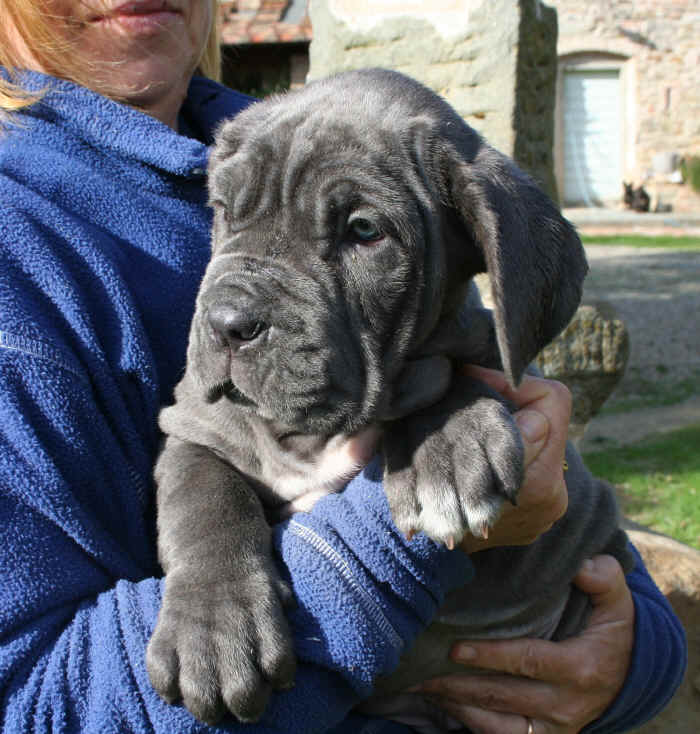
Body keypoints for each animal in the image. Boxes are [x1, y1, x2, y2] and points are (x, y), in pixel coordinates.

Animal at [145, 70, 632, 732]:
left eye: (365, 231)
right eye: (223, 210)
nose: (227, 322)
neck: (310, 436)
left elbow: (451, 371)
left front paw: (447, 447)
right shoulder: (196, 429)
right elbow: (206, 507)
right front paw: (215, 631)